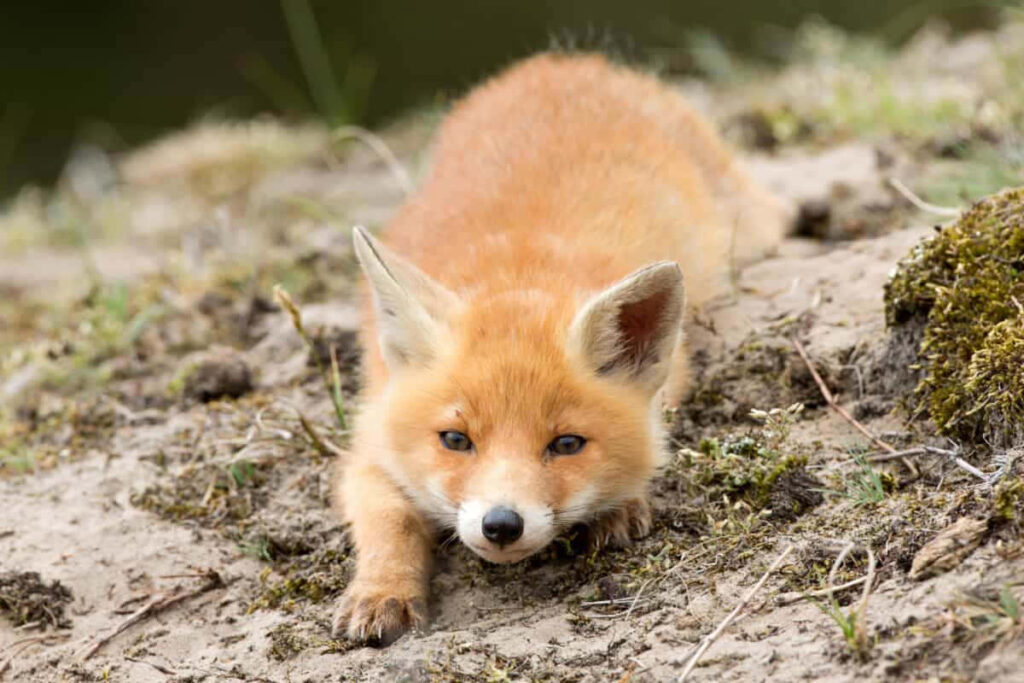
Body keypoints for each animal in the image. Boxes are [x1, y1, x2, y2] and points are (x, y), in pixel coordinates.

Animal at [331, 52, 790, 645]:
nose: (501, 525)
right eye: (455, 440)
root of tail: (559, 62)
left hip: (748, 233)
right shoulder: (369, 438)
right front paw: (382, 589)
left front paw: (619, 505)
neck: (518, 270)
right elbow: (389, 520)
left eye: (567, 444)